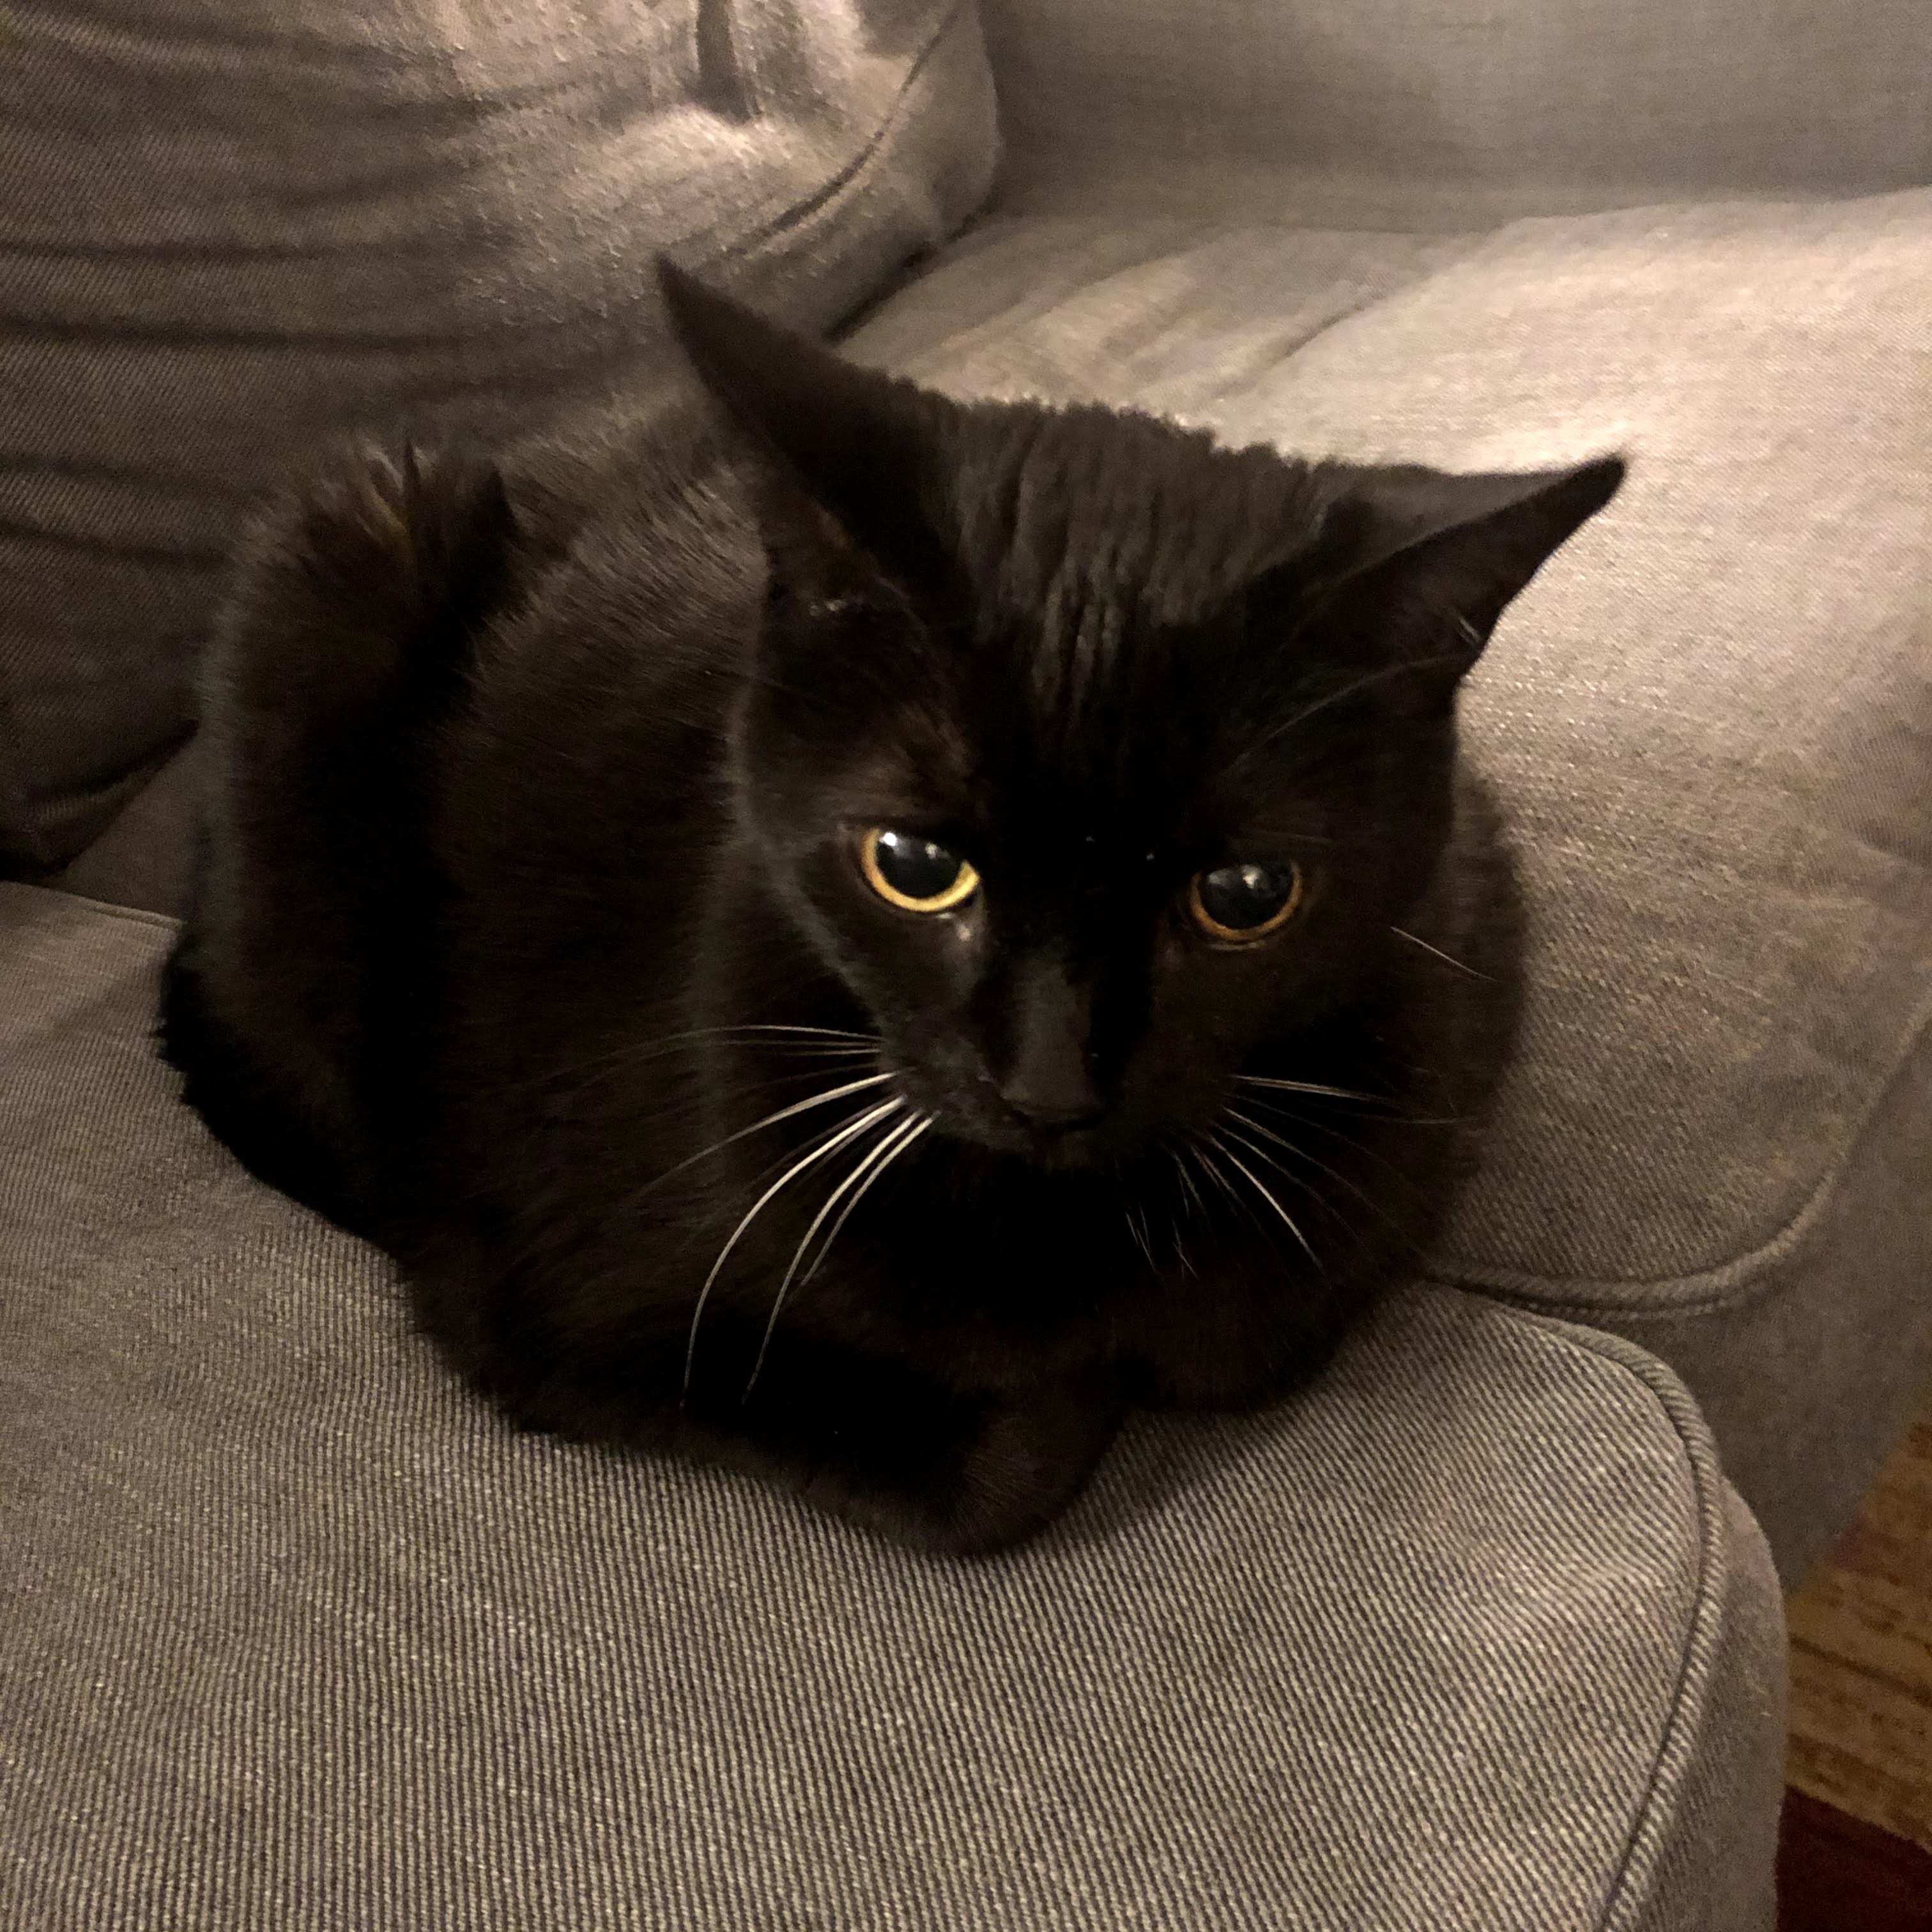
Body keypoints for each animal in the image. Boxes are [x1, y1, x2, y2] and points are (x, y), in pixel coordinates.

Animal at [161, 260, 1621, 1555]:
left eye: (1245, 895)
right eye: (914, 865)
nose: (1051, 1083)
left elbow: (1254, 1328)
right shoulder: (554, 1305)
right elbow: (1012, 1460)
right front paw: (1080, 1383)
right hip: (344, 561)